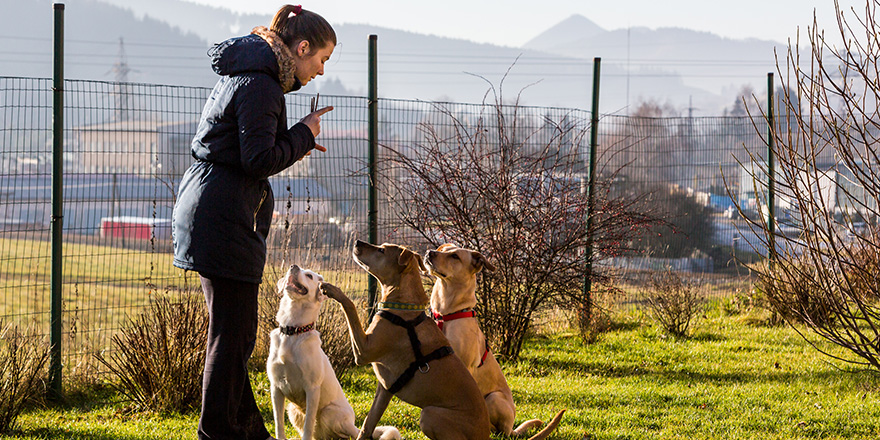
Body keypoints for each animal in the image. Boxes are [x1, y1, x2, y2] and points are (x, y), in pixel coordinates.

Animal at [266, 264, 400, 440]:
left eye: (309, 276)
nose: (293, 266)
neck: (293, 332)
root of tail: (352, 424)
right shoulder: (276, 388)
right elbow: (279, 424)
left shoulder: (312, 389)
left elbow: (308, 425)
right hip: (292, 410)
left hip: (329, 413)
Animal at [322, 241, 492, 440]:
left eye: (381, 250)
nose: (357, 242)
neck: (403, 308)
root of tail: (485, 434)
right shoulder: (385, 388)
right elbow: (368, 424)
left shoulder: (364, 351)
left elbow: (350, 306)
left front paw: (333, 290)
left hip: (429, 414)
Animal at [424, 244, 564, 436]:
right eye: (444, 249)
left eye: (455, 256)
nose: (429, 252)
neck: (446, 315)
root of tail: (513, 428)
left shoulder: (465, 366)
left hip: (494, 398)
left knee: (499, 430)